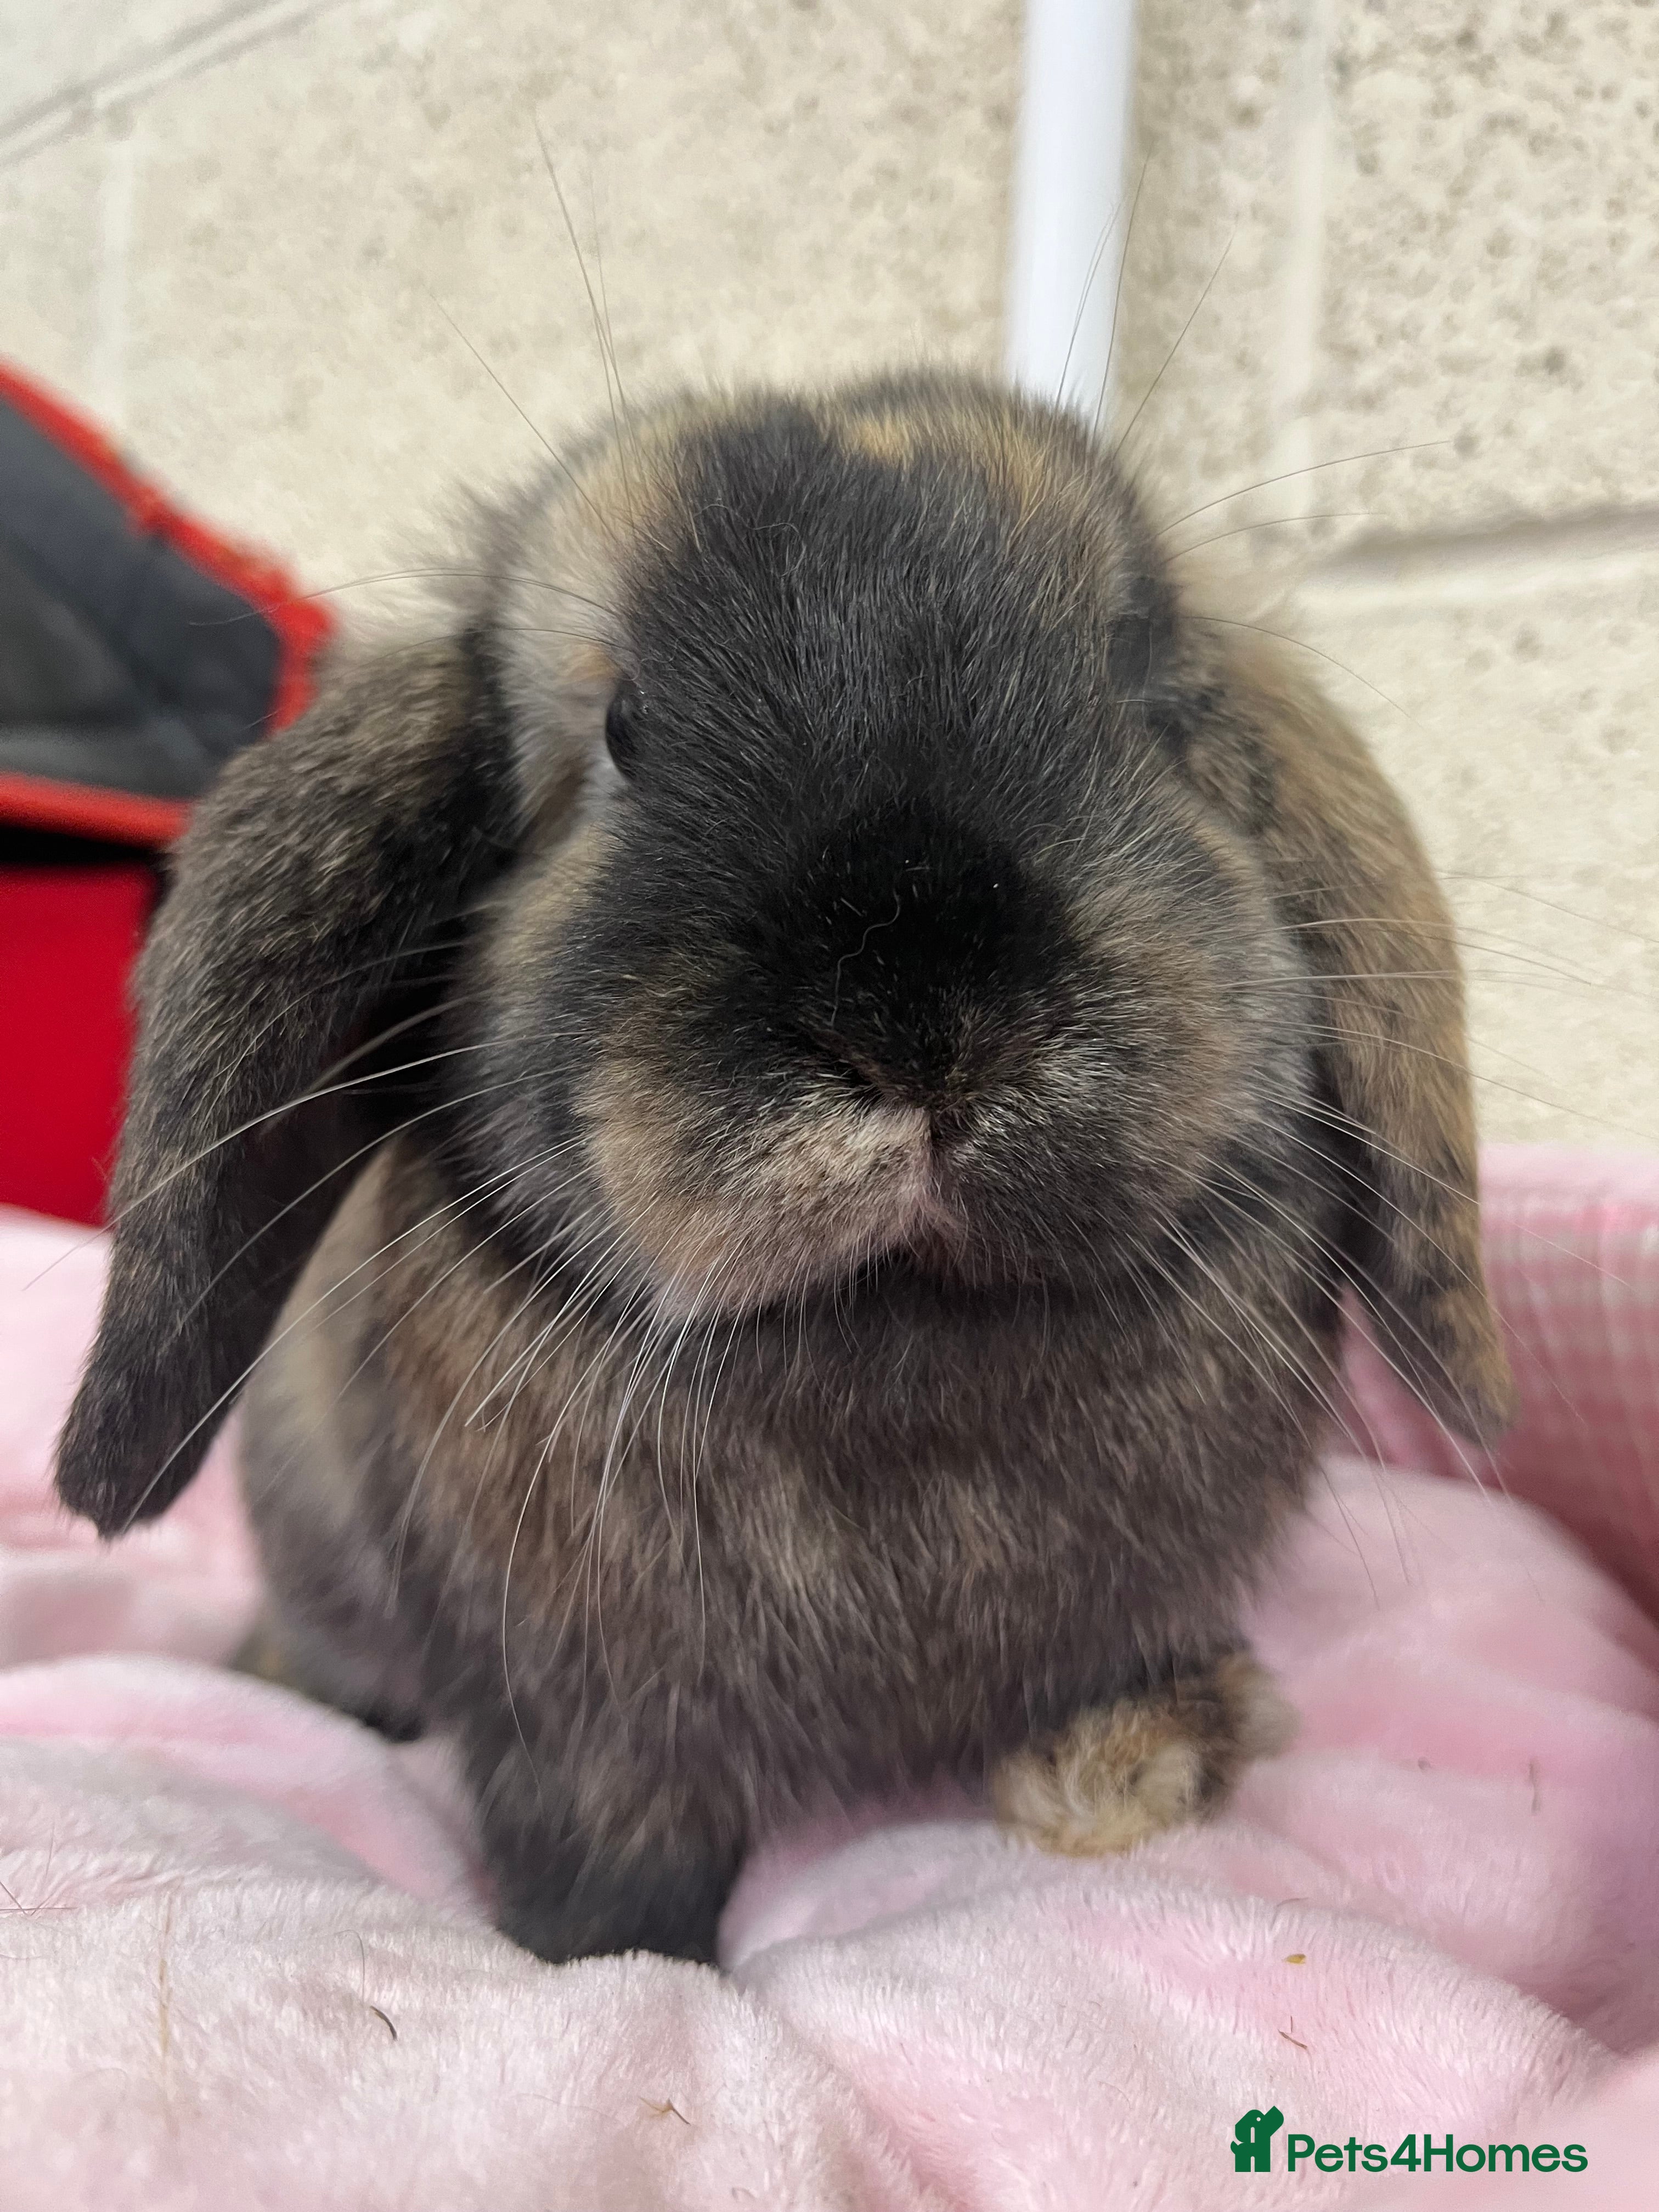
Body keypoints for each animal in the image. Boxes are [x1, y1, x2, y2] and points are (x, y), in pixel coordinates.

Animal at [54, 373, 1514, 1965]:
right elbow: (606, 1871)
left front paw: (1132, 1762)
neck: (897, 1333)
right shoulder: (578, 1730)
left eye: (1133, 682)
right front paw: (599, 1963)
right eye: (622, 728)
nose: (920, 1011)